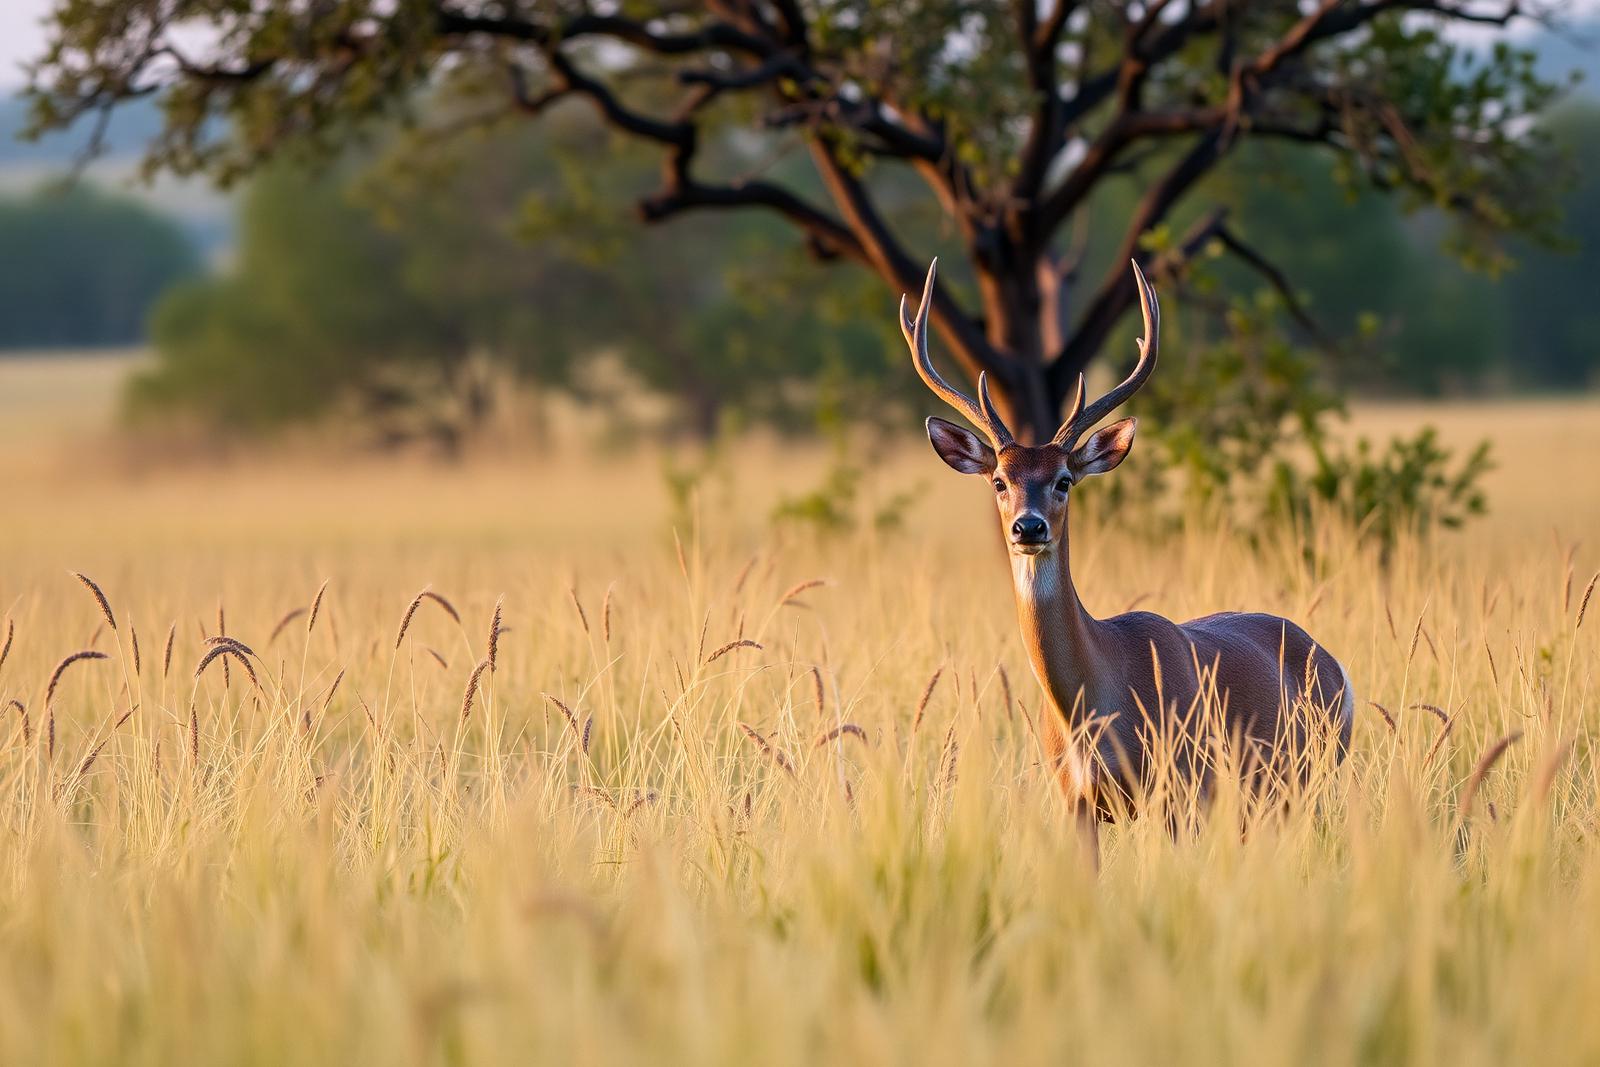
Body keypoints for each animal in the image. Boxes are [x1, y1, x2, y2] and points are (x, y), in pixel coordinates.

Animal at [899, 259, 1355, 860]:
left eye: (1064, 480)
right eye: (999, 480)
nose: (1029, 527)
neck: (1096, 707)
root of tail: (1334, 664)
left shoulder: (1179, 788)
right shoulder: (1074, 802)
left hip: (1312, 772)